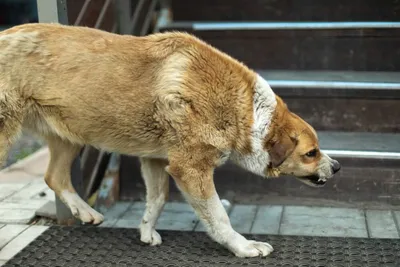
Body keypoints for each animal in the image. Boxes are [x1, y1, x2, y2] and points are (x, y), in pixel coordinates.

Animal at [0, 23, 340, 260]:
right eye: (311, 153)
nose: (336, 166)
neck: (246, 110)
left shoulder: (157, 160)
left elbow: (158, 199)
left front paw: (146, 231)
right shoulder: (190, 169)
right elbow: (218, 215)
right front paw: (243, 247)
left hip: (70, 135)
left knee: (54, 176)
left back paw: (86, 212)